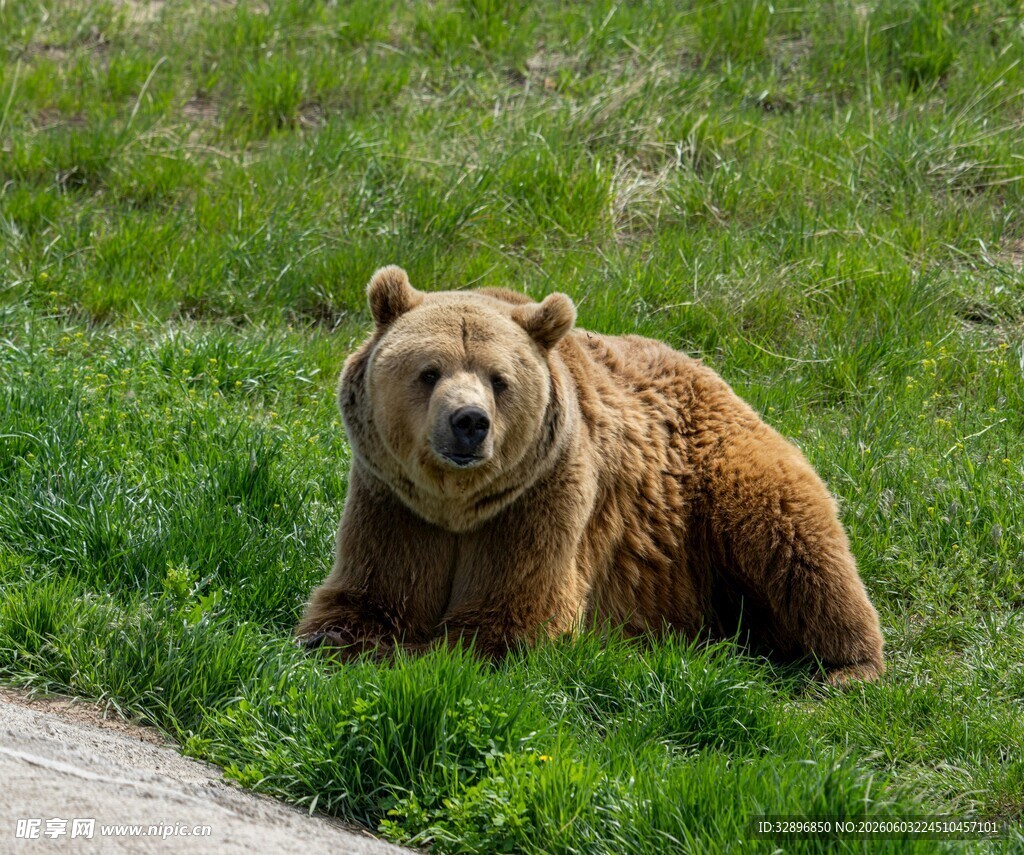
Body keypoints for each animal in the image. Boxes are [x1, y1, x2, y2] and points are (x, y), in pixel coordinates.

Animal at [296, 265, 885, 685]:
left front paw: (424, 649)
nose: (469, 422)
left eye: (499, 379)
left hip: (722, 479)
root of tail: (708, 370)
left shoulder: (539, 499)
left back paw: (848, 665)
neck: (459, 507)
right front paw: (342, 639)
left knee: (797, 545)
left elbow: (515, 619)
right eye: (428, 371)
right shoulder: (395, 503)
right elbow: (368, 598)